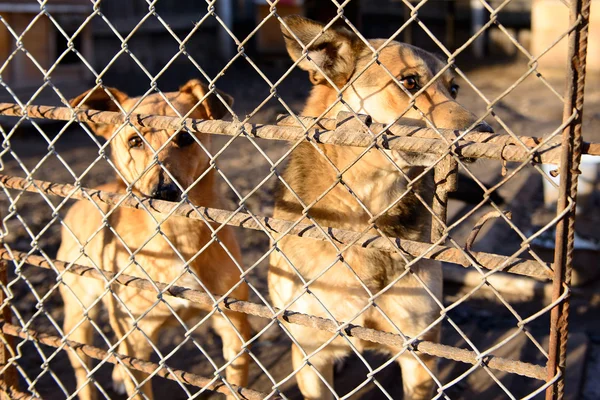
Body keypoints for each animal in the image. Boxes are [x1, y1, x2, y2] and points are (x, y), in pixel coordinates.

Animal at [57, 79, 250, 398]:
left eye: (184, 137)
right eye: (135, 141)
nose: (164, 193)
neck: (176, 235)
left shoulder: (234, 328)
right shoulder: (137, 343)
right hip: (79, 315)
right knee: (83, 369)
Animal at [270, 16, 494, 400]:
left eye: (453, 89)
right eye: (409, 82)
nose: (487, 133)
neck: (365, 208)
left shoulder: (420, 354)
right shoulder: (309, 351)